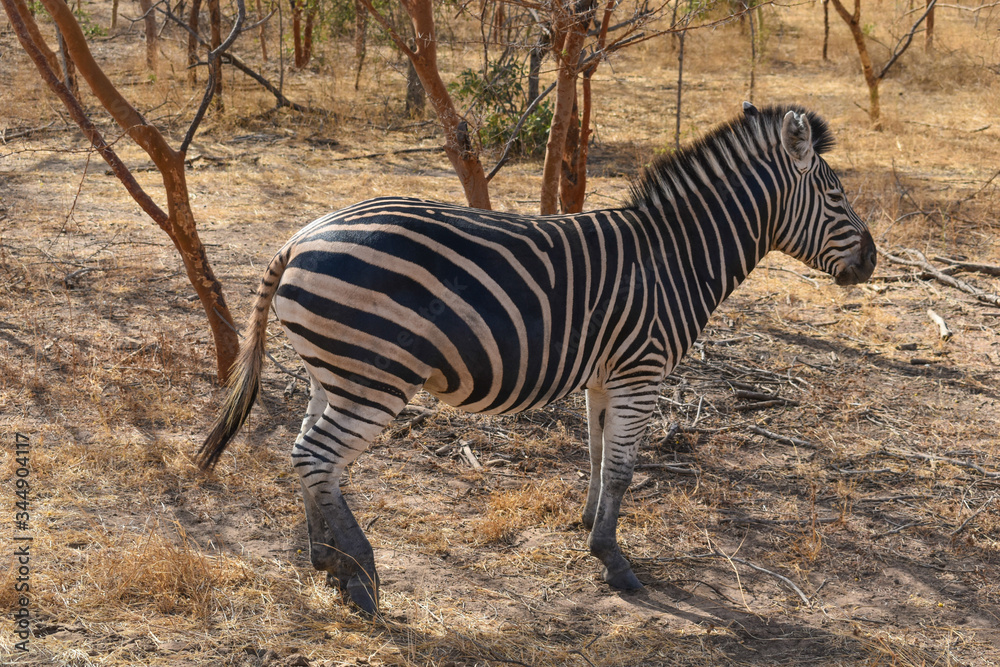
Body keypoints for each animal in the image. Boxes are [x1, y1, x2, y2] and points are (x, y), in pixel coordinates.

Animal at [198, 103, 876, 615]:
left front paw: (588, 527)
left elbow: (599, 459)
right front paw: (614, 562)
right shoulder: (641, 371)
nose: (872, 262)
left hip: (336, 370)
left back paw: (326, 561)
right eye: (837, 195)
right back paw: (359, 577)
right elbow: (624, 469)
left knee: (308, 453)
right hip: (374, 375)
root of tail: (300, 236)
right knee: (317, 455)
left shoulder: (606, 376)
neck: (674, 258)